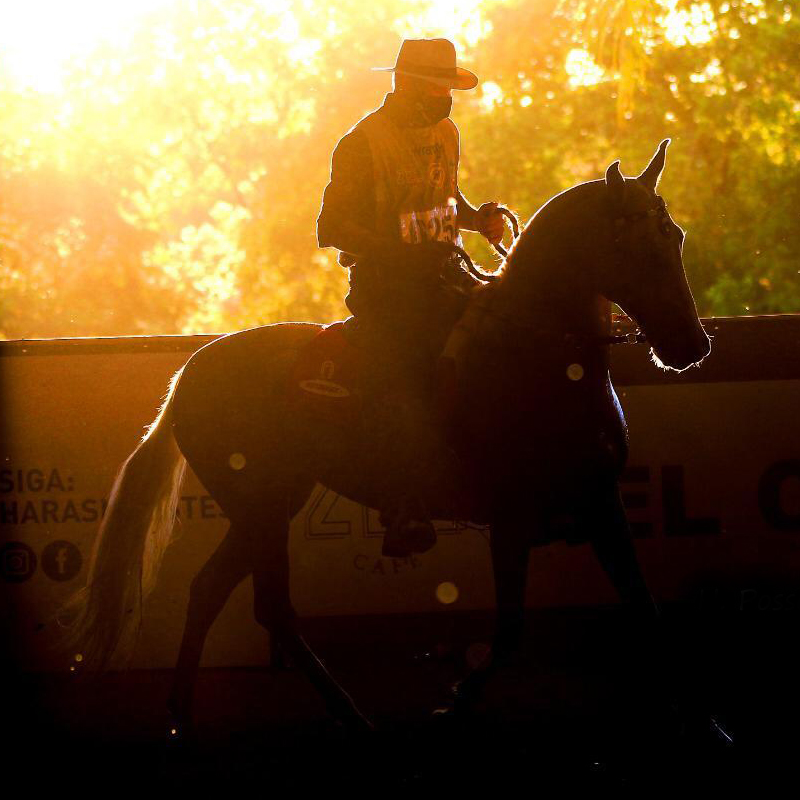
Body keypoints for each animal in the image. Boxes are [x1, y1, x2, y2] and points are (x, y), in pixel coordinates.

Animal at [62, 141, 712, 740]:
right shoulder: (510, 520)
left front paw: (708, 724)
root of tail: (190, 372)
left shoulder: (602, 504)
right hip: (262, 507)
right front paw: (454, 704)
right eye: (636, 244)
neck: (538, 355)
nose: (690, 344)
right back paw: (351, 717)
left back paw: (184, 715)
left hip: (268, 505)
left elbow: (645, 609)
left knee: (209, 590)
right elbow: (508, 631)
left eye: (675, 237)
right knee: (270, 606)